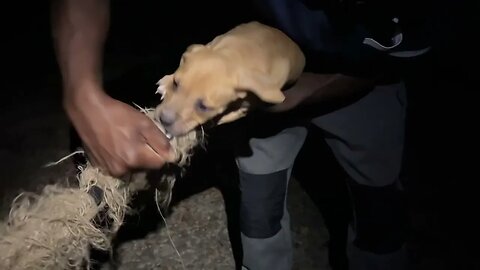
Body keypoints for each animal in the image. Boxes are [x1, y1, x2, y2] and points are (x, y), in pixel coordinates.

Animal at [155, 20, 304, 137]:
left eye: (204, 107)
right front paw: (166, 82)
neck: (235, 56)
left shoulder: (246, 107)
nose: (163, 120)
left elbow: (226, 117)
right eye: (175, 83)